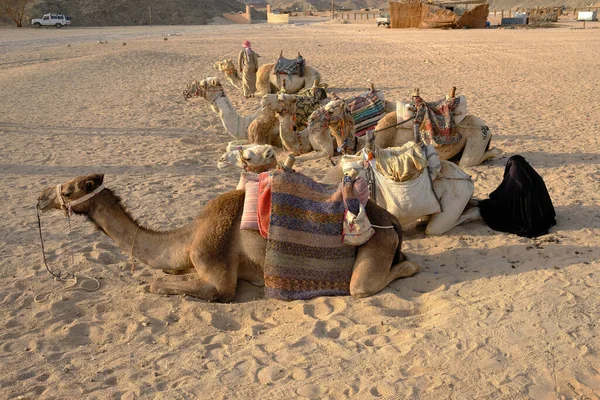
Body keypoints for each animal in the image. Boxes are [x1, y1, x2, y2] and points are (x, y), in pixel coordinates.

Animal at [37, 173, 420, 302]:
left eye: (69, 190)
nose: (40, 198)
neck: (190, 235)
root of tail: (392, 223)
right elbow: (167, 274)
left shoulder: (217, 269)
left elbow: (161, 284)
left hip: (374, 249)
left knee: (365, 285)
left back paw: (408, 267)